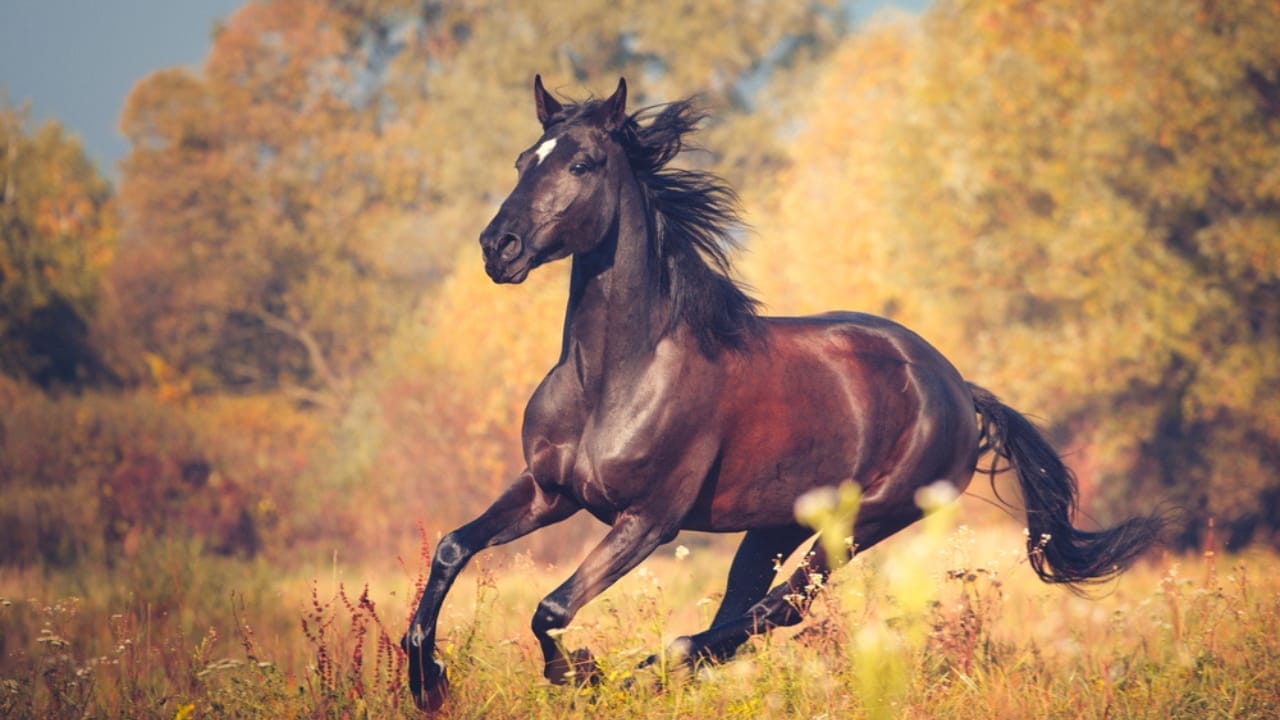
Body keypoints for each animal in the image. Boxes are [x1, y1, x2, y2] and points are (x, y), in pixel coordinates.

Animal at [402, 75, 1166, 711]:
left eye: (582, 163)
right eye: (523, 160)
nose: (498, 247)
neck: (616, 377)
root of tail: (956, 386)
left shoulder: (649, 518)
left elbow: (552, 610)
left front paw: (580, 673)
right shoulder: (548, 492)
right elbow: (452, 549)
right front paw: (427, 680)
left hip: (863, 522)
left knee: (777, 610)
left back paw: (647, 669)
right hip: (774, 523)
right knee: (749, 610)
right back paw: (661, 672)